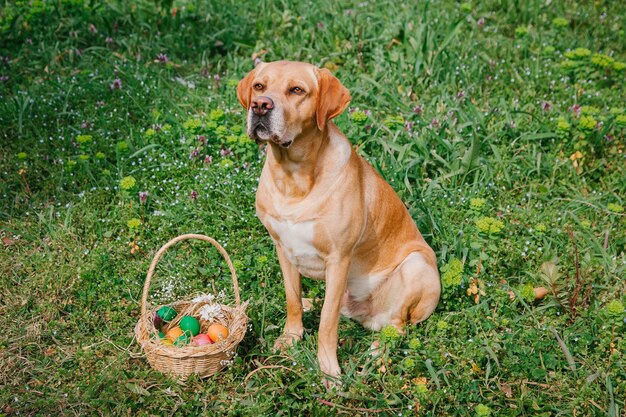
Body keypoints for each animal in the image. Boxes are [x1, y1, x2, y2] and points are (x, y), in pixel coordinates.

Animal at [238, 61, 438, 380]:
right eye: (259, 86)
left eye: (297, 90)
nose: (260, 105)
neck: (294, 179)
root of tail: (366, 314)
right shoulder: (283, 249)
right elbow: (292, 301)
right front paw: (290, 338)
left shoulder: (338, 259)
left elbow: (327, 324)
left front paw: (328, 371)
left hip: (417, 266)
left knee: (397, 326)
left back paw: (375, 352)